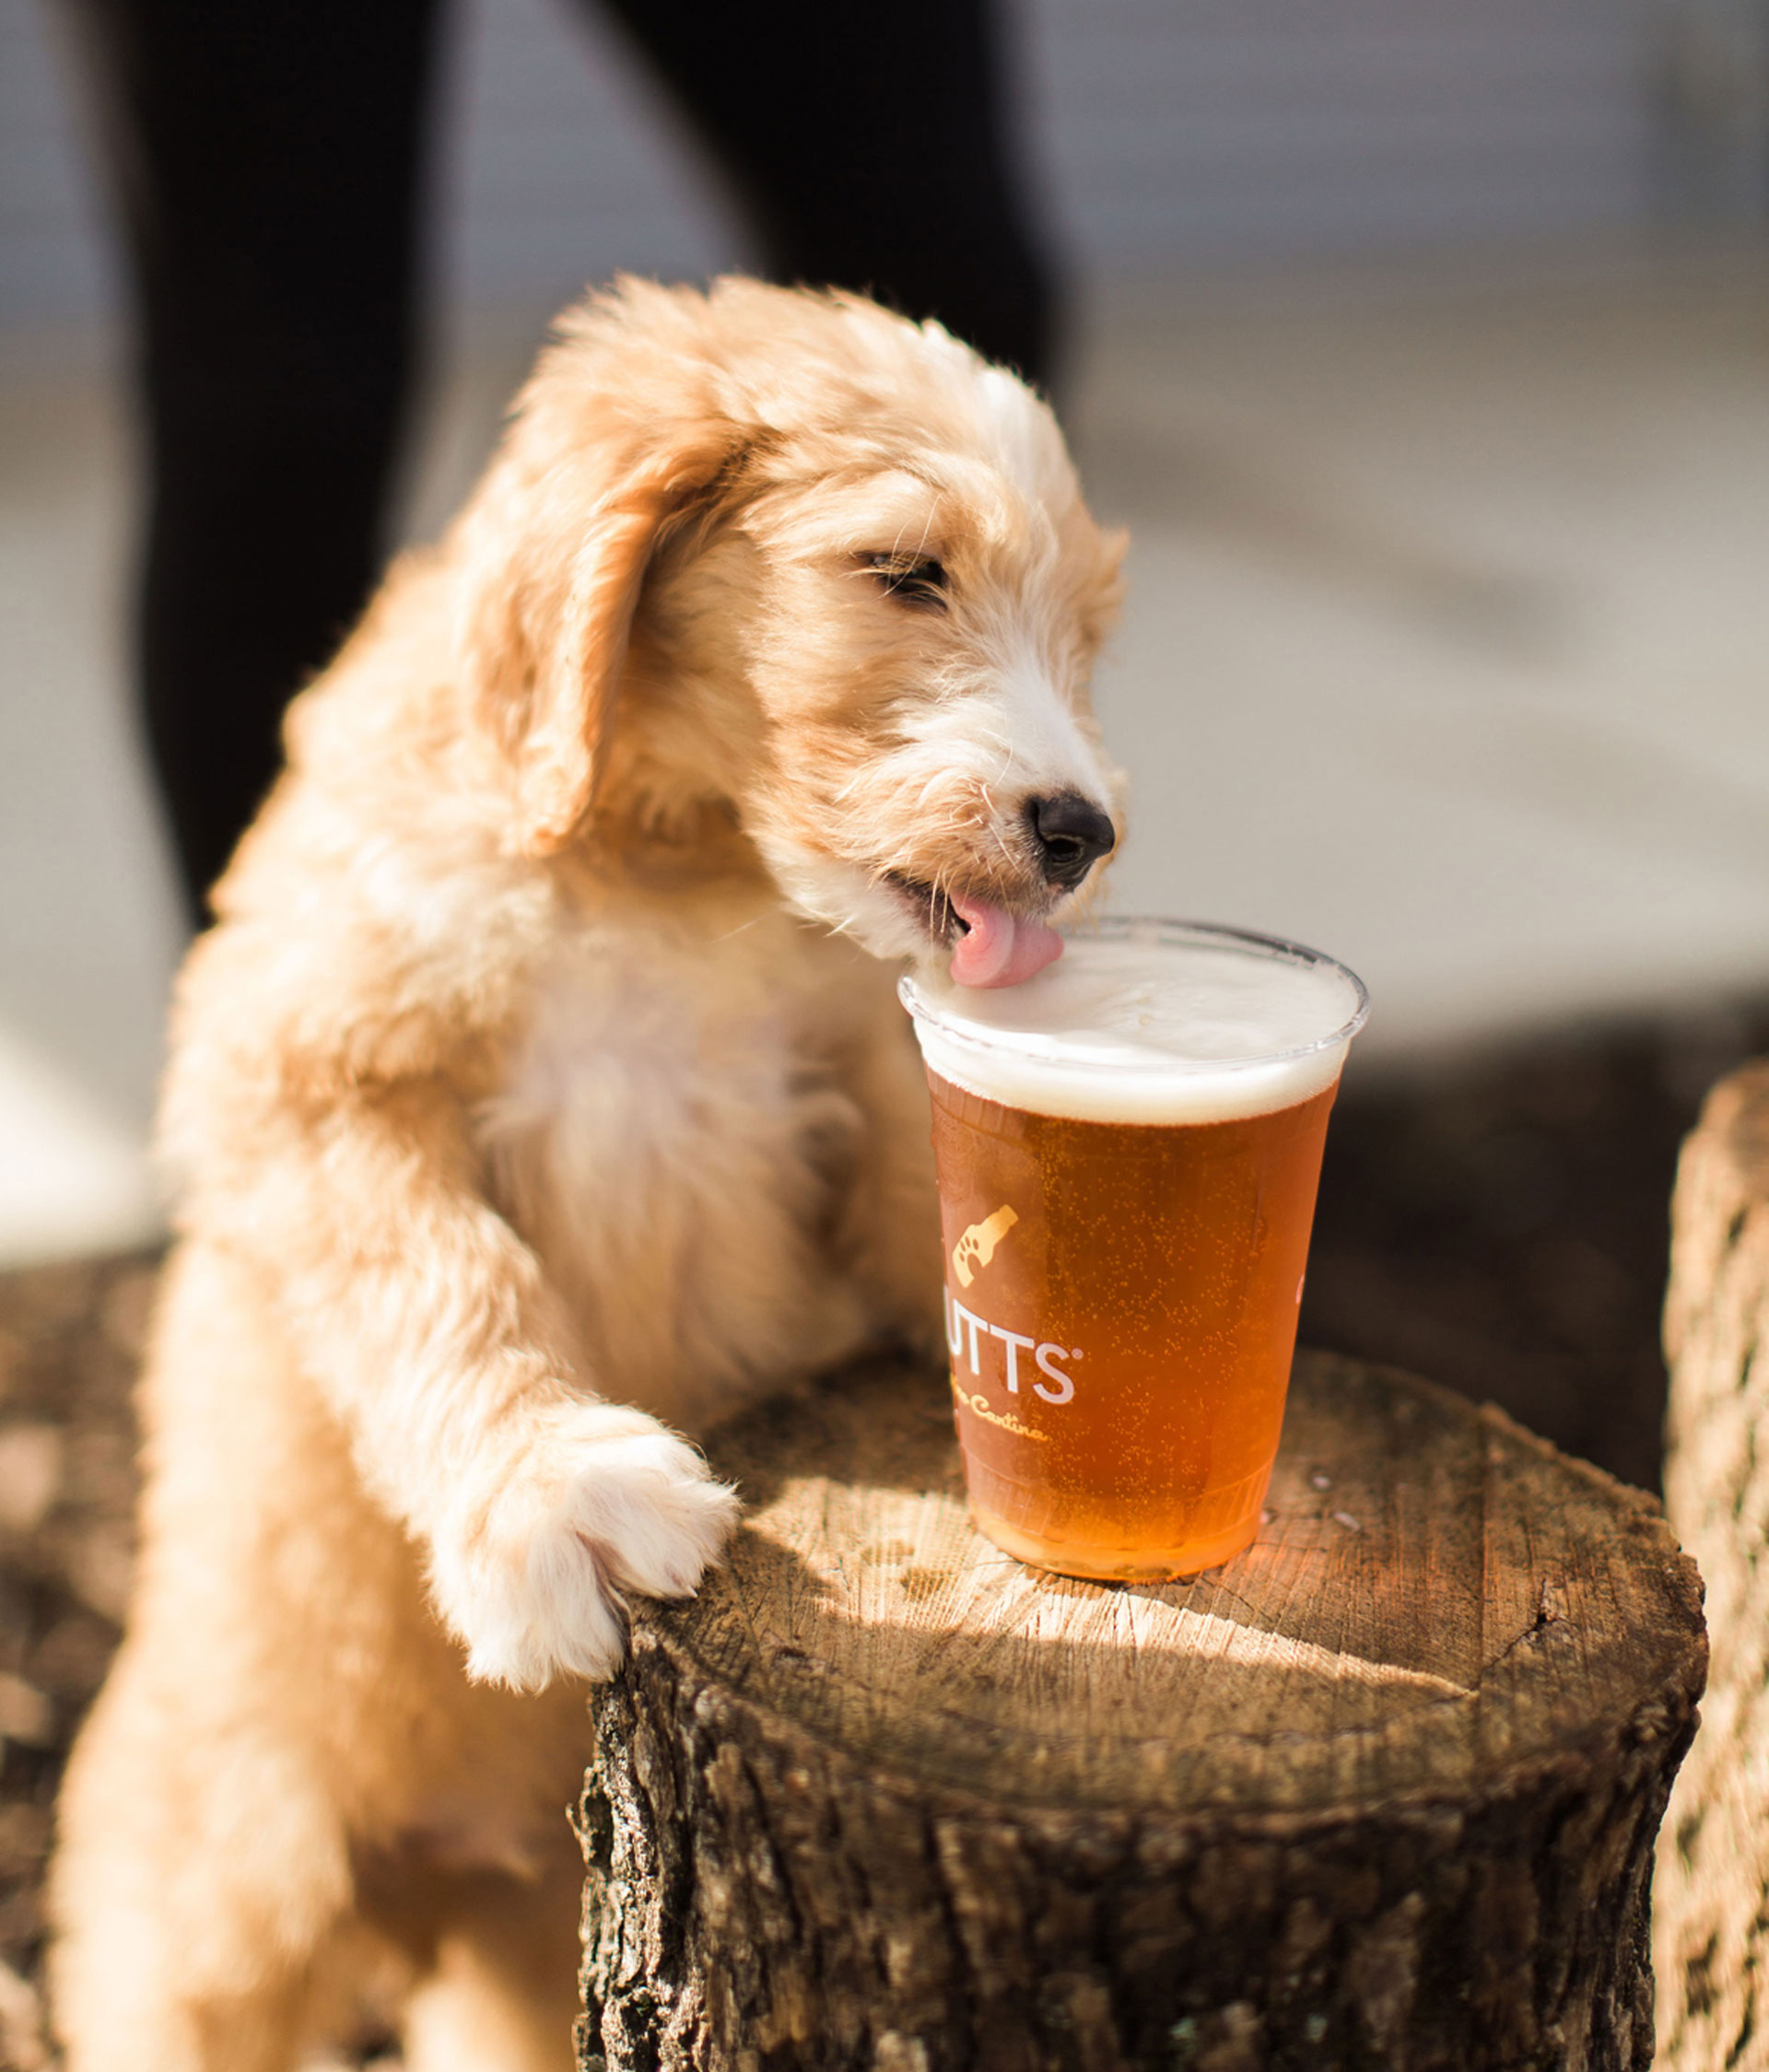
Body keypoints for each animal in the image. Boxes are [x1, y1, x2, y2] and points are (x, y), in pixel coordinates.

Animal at [52, 279, 1119, 2072]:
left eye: (1090, 629)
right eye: (906, 570)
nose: (1082, 832)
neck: (666, 862)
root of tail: (433, 1880)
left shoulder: (856, 1072)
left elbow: (937, 1225)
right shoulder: (305, 1062)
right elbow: (435, 1265)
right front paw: (545, 1486)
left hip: (520, 1969)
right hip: (207, 1922)